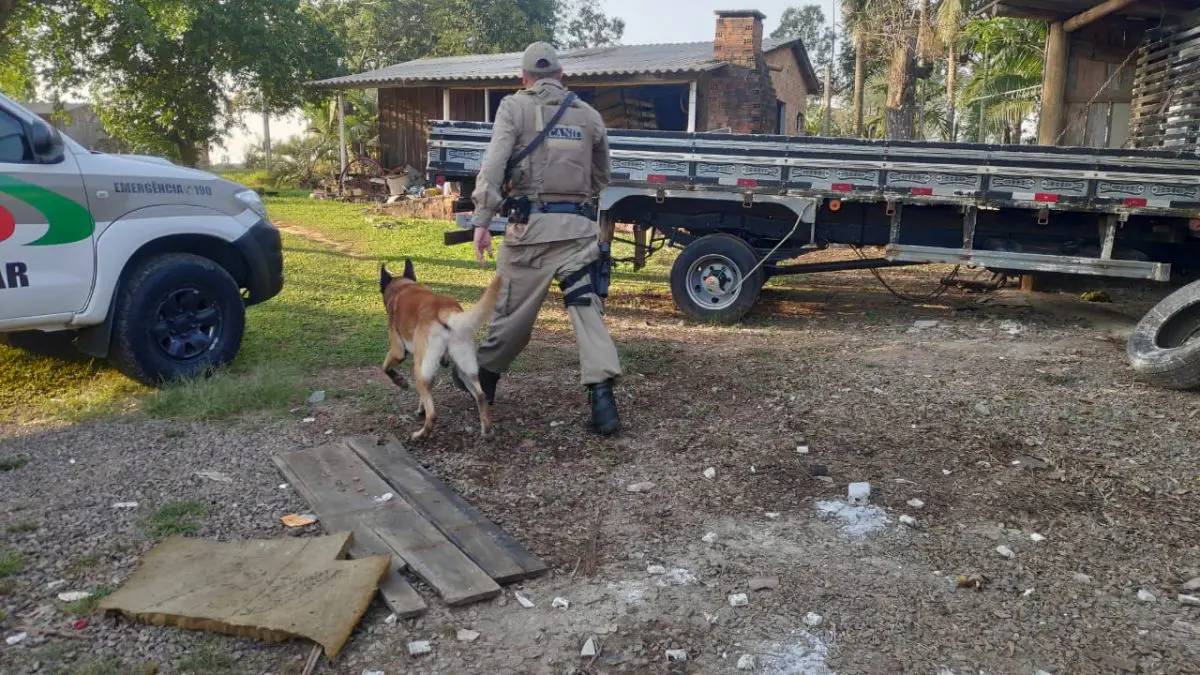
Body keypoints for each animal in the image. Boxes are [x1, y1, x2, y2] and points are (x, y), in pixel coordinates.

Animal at [379, 258, 501, 441]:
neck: (402, 287)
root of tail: (445, 310)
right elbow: (425, 394)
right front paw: (421, 407)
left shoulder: (397, 350)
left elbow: (385, 367)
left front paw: (400, 382)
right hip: (464, 368)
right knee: (481, 396)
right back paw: (487, 431)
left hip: (420, 370)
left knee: (433, 415)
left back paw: (420, 434)